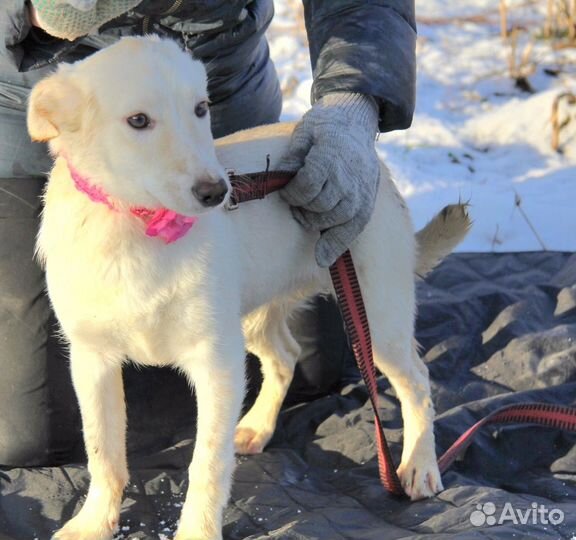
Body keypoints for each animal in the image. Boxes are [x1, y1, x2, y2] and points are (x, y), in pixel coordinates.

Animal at [25, 35, 468, 536]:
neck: (140, 230)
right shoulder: (92, 360)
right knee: (286, 356)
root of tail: (376, 163)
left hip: (376, 317)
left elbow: (207, 463)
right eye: (138, 120)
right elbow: (103, 452)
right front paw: (95, 521)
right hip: (255, 317)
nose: (217, 192)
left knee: (418, 380)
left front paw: (197, 530)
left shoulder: (216, 362)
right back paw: (258, 426)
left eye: (201, 108)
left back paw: (419, 464)